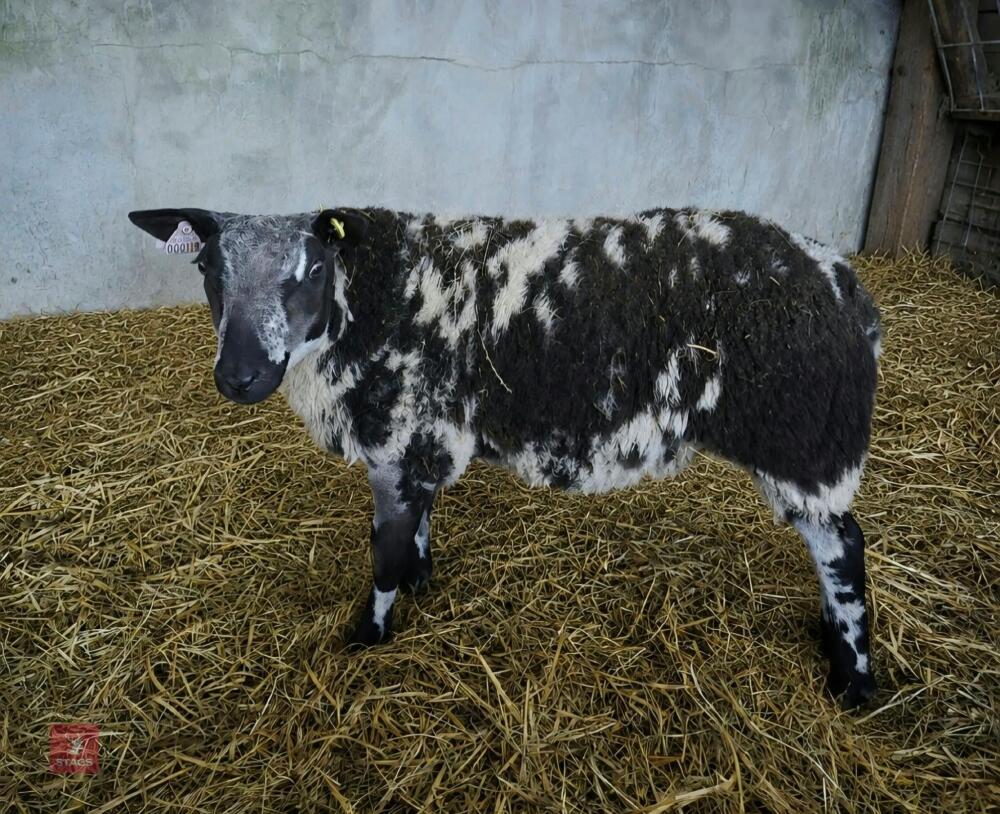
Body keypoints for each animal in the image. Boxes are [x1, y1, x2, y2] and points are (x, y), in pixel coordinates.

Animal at [129, 205, 882, 708]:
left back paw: (852, 677)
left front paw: (367, 635)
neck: (370, 302)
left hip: (805, 442)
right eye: (206, 268)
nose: (239, 377)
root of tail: (846, 285)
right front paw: (421, 580)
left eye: (314, 268)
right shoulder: (421, 437)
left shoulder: (398, 435)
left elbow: (382, 552)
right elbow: (416, 527)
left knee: (843, 548)